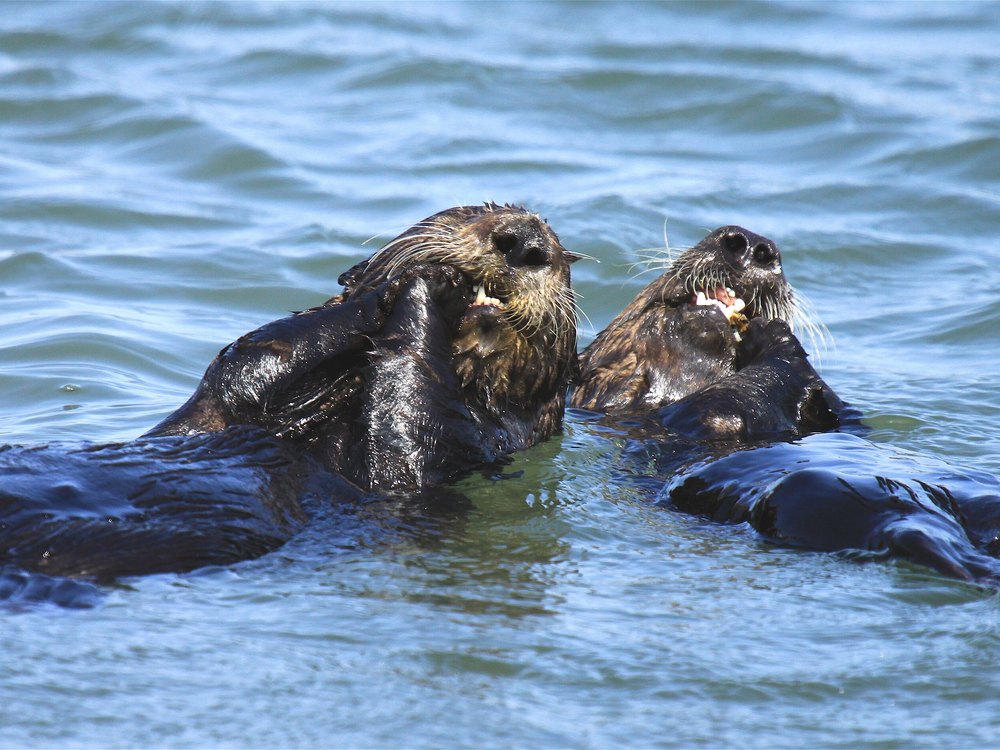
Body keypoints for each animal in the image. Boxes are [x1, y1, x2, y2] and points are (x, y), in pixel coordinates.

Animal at [0, 204, 577, 593]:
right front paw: (420, 278)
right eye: (470, 210)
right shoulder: (225, 403)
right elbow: (256, 359)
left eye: (561, 258)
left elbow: (407, 435)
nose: (524, 240)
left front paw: (429, 292)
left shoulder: (457, 450)